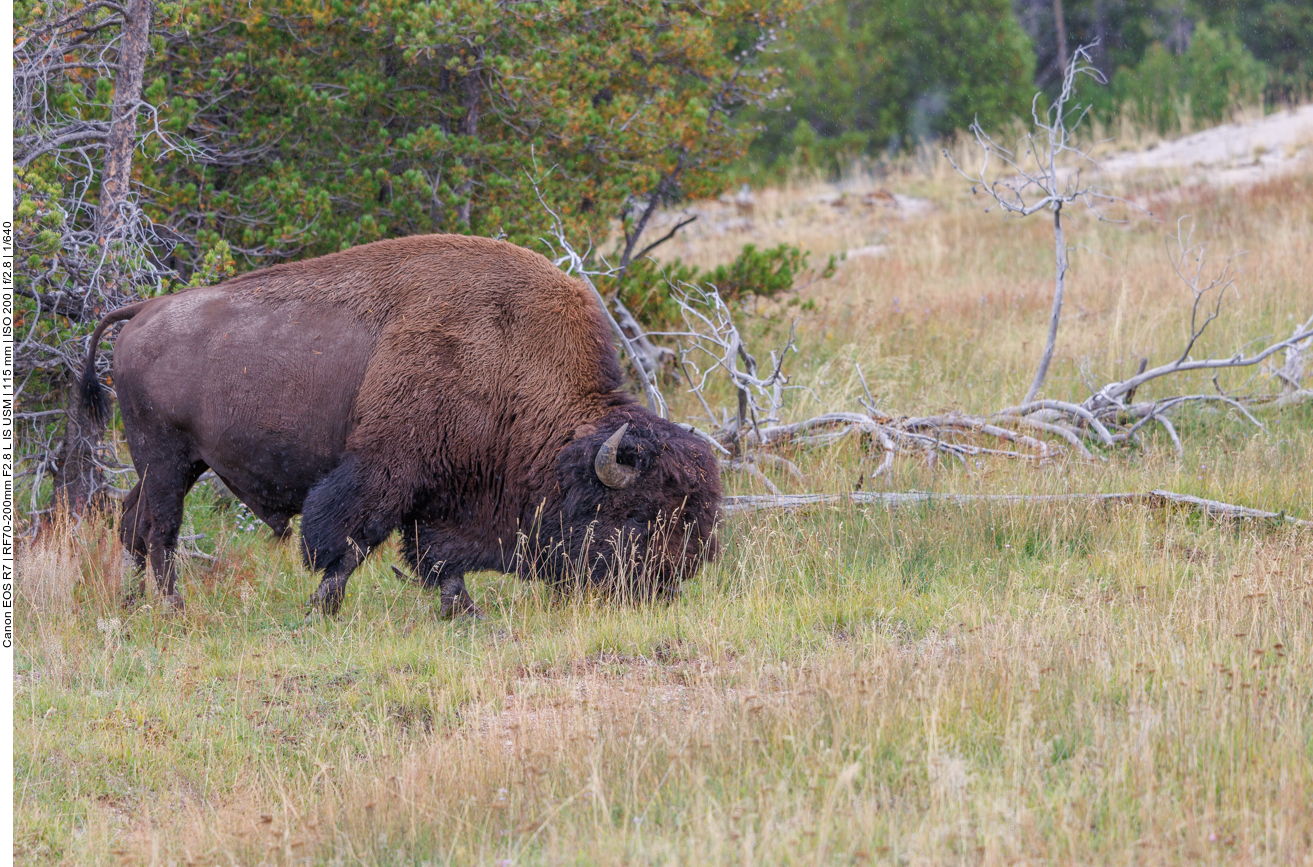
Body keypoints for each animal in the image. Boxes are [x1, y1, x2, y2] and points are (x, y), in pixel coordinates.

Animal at [80, 235, 719, 617]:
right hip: (165, 456)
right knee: (160, 529)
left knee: (131, 521)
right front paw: (323, 609)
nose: (671, 581)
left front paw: (462, 611)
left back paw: (131, 603)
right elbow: (348, 543)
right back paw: (172, 608)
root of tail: (142, 311)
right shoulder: (385, 470)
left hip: (177, 463)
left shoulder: (442, 492)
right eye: (638, 515)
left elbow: (436, 557)